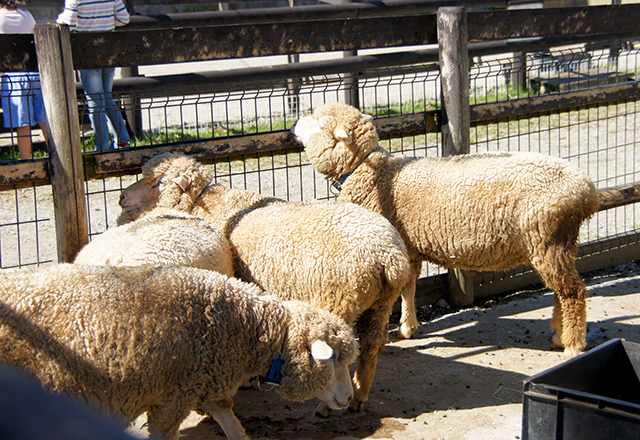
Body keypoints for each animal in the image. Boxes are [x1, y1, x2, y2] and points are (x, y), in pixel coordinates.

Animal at [117, 153, 412, 414]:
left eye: (158, 182)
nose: (121, 197)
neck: (210, 203)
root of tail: (389, 256)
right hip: (381, 304)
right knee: (372, 345)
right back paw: (359, 396)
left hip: (340, 299)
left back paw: (326, 407)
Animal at [292, 101, 604, 360]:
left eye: (319, 124)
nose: (294, 125)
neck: (369, 171)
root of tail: (586, 190)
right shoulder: (408, 248)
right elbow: (409, 287)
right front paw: (408, 327)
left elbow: (401, 291)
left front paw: (401, 328)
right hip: (560, 241)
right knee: (562, 290)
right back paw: (558, 335)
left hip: (548, 239)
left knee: (573, 292)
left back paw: (573, 345)